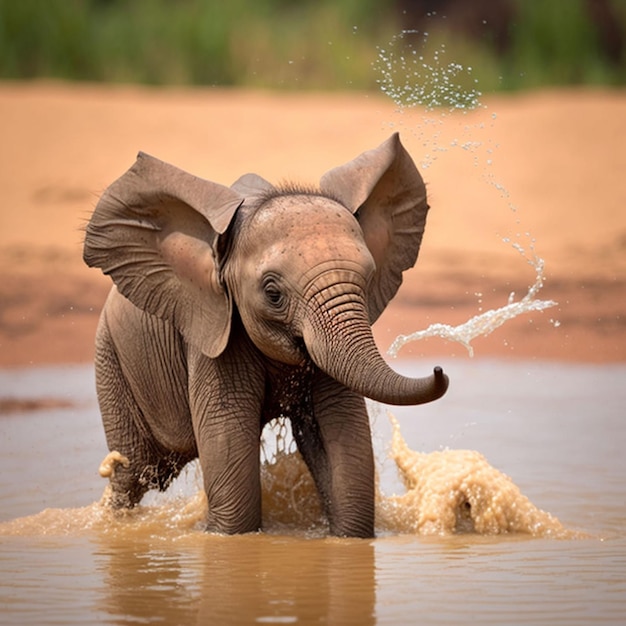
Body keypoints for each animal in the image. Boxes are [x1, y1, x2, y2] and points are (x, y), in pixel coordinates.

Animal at [84, 132, 444, 536]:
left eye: (367, 282)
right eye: (273, 293)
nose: (439, 369)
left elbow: (346, 451)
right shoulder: (214, 333)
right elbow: (233, 478)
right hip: (111, 357)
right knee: (132, 474)